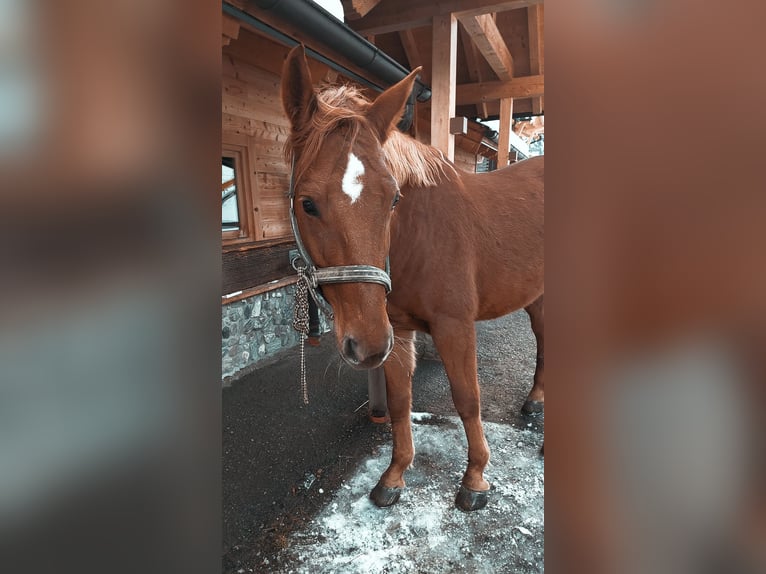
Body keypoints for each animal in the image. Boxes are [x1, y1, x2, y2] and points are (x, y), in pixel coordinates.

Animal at [281, 45, 544, 511]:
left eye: (393, 199)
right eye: (307, 203)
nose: (365, 344)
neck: (419, 237)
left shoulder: (454, 325)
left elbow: (467, 398)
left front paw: (475, 478)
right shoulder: (396, 330)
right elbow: (401, 402)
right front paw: (395, 474)